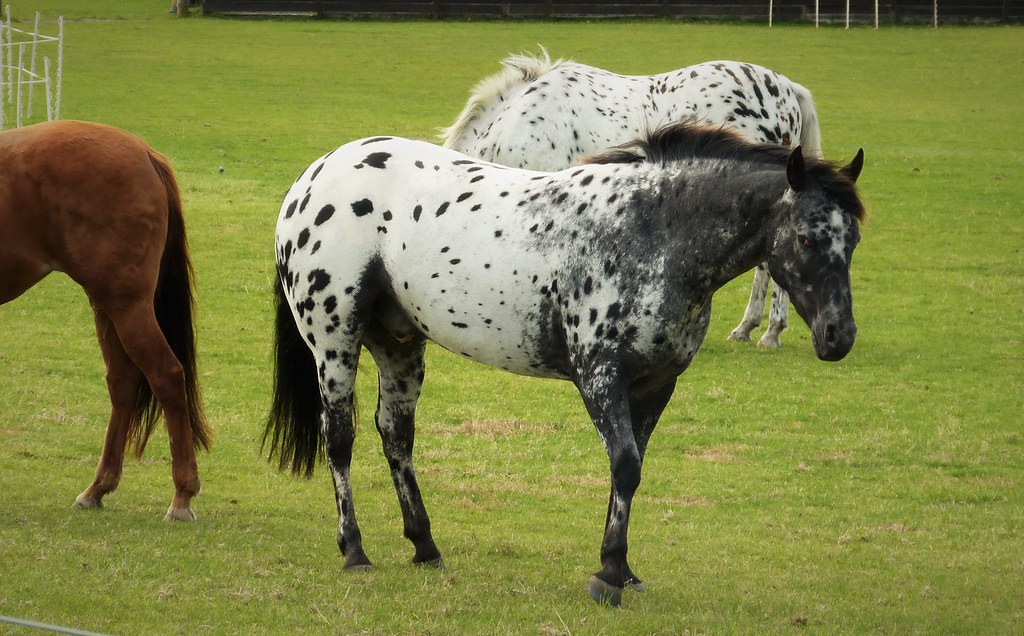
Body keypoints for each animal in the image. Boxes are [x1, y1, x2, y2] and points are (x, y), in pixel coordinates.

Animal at [0, 120, 210, 521]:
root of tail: (145, 153)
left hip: (127, 305)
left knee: (166, 376)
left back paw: (182, 496)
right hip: (107, 305)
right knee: (124, 383)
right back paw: (98, 488)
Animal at [266, 121, 865, 606]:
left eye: (853, 238)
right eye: (807, 237)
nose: (839, 336)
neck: (655, 231)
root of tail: (313, 177)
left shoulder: (655, 384)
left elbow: (631, 470)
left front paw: (621, 569)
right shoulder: (599, 375)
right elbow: (624, 464)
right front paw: (609, 576)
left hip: (399, 343)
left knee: (396, 435)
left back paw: (425, 545)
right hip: (334, 341)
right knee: (339, 437)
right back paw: (355, 551)